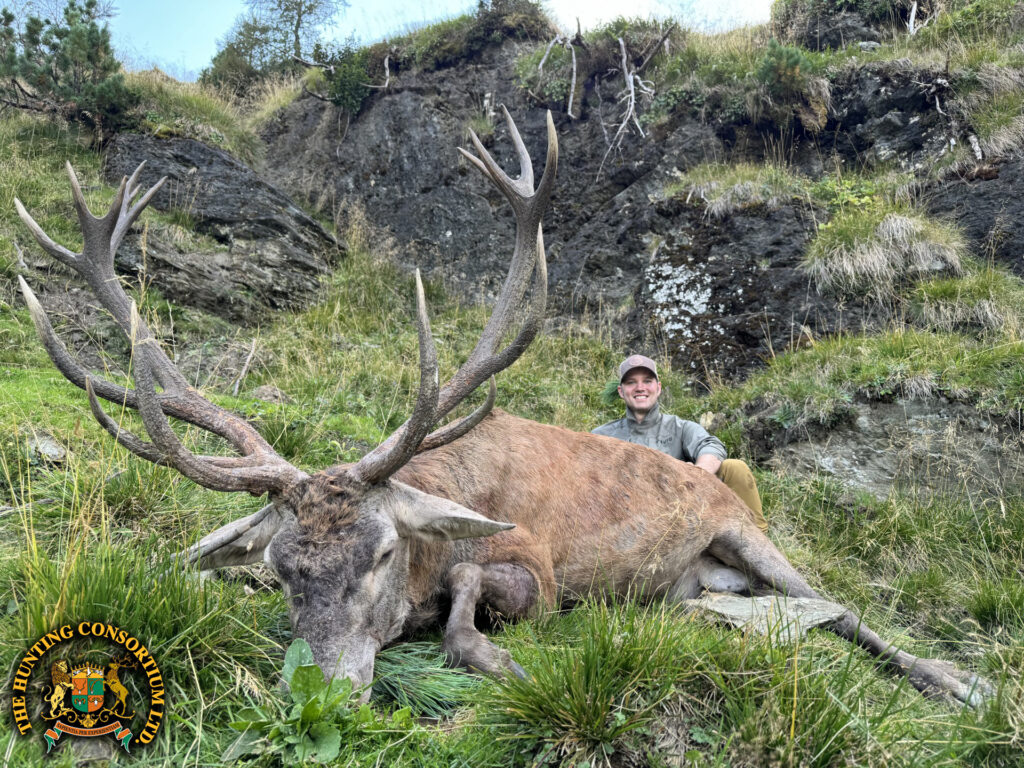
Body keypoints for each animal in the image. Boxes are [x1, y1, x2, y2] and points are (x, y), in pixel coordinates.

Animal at [16, 108, 988, 709]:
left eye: (381, 551)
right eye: (283, 567)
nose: (323, 693)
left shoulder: (537, 567)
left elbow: (468, 611)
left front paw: (504, 662)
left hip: (746, 531)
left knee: (842, 607)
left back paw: (958, 680)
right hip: (697, 584)